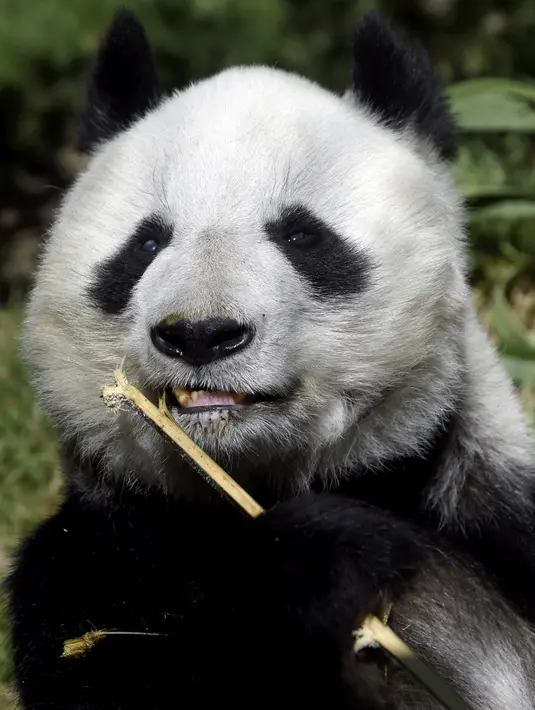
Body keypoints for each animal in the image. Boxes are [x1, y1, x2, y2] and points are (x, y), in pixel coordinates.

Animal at [6, 6, 535, 709]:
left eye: (301, 234)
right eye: (146, 243)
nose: (200, 334)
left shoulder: (493, 511)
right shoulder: (99, 555)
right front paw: (318, 560)